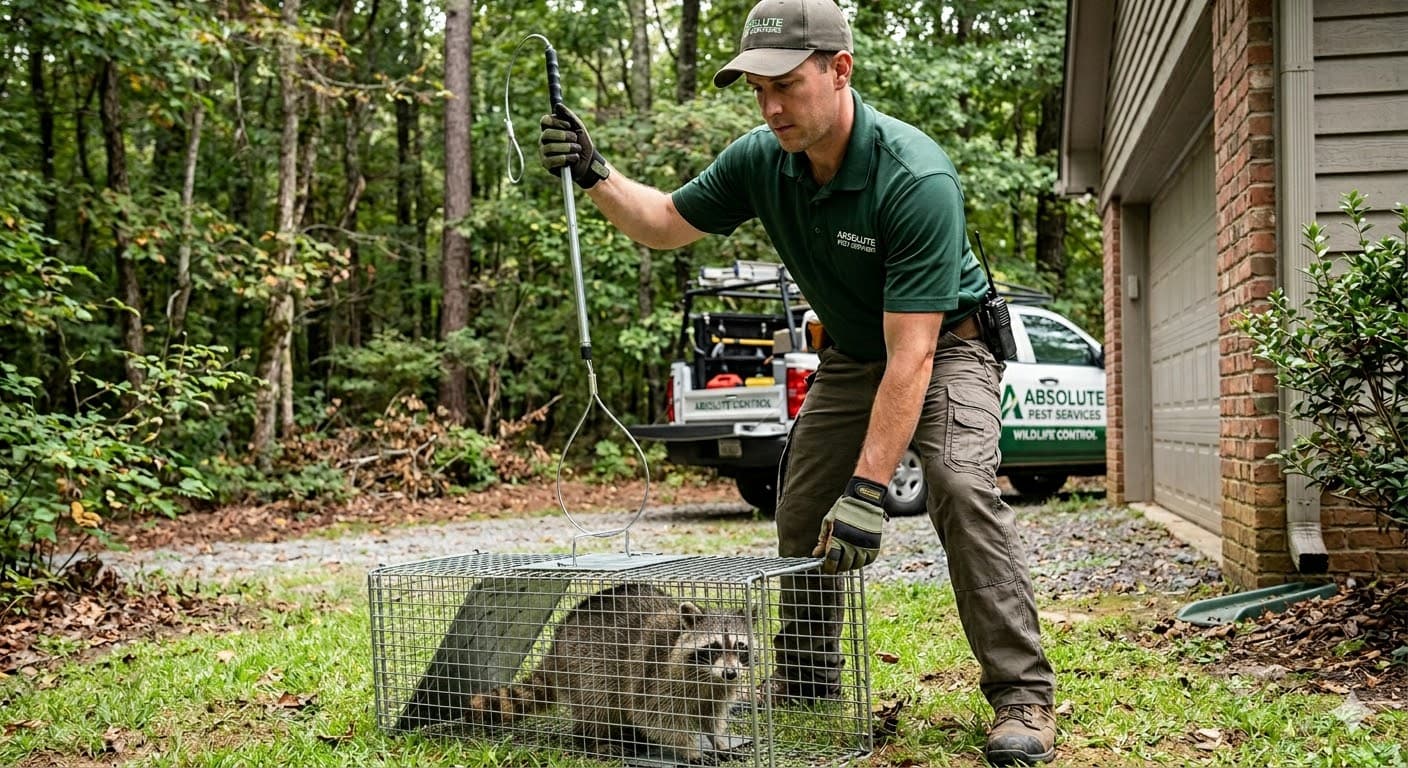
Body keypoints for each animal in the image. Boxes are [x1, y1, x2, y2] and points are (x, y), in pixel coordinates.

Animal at [468, 583, 754, 763]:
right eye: (714, 647)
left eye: (740, 647)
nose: (730, 673)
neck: (708, 676)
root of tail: (556, 643)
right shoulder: (657, 676)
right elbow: (655, 716)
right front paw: (689, 748)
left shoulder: (719, 690)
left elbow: (712, 717)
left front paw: (718, 741)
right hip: (584, 662)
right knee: (597, 703)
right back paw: (592, 740)